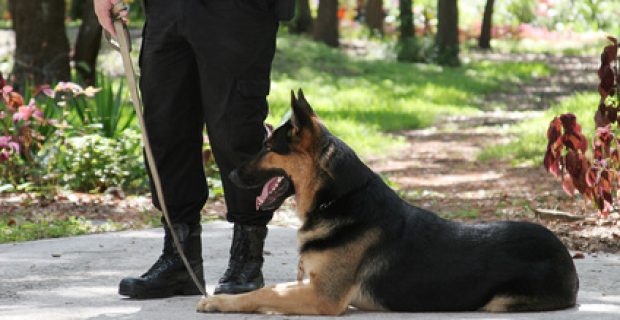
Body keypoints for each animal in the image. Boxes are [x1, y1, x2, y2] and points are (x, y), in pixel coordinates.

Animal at [197, 90, 576, 316]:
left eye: (268, 148)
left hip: (500, 302)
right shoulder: (313, 286)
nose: (231, 175)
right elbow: (272, 289)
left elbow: (266, 293)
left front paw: (218, 301)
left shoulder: (323, 296)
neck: (337, 200)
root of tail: (565, 253)